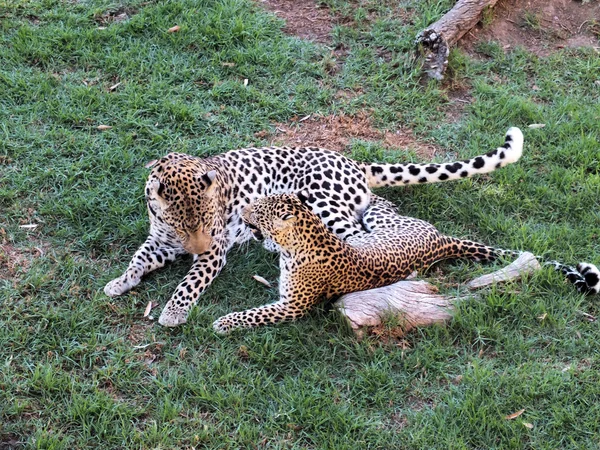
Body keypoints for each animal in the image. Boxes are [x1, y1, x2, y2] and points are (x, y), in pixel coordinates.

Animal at [104, 126, 524, 326]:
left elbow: (190, 282)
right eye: (180, 224)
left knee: (366, 245)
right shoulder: (160, 240)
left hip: (326, 207)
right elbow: (138, 259)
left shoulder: (214, 249)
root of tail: (353, 162)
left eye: (208, 221)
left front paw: (173, 313)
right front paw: (119, 282)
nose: (195, 247)